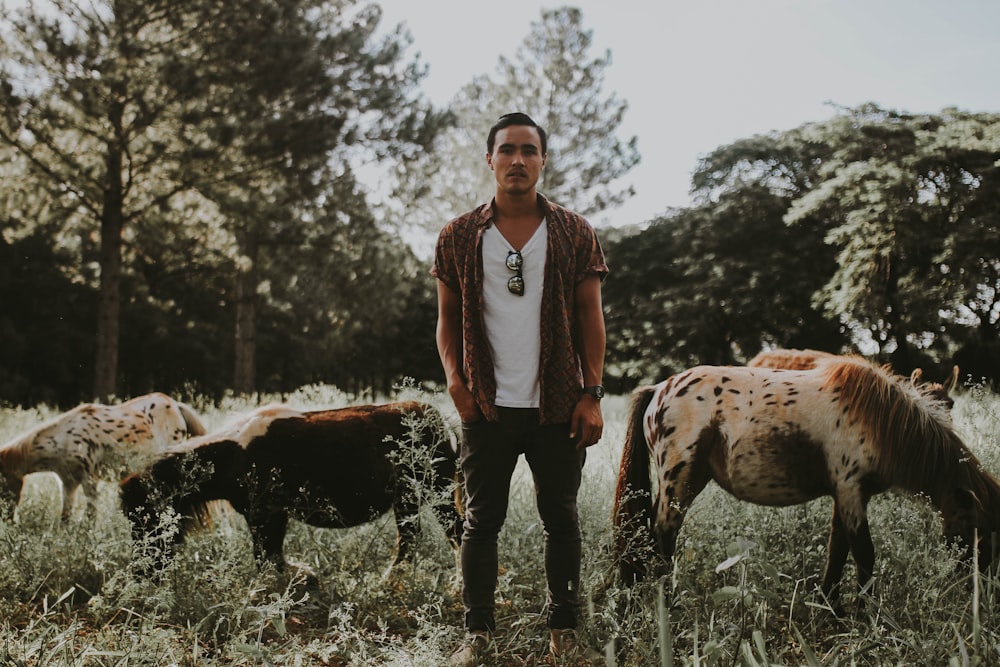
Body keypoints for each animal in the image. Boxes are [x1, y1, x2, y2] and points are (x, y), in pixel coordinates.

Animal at [0, 392, 206, 520]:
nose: (7, 519)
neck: (66, 438)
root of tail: (176, 405)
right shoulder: (68, 483)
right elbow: (65, 518)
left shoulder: (89, 479)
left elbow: (91, 517)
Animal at [119, 400, 462, 576]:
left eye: (141, 519)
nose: (141, 572)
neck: (235, 453)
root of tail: (436, 415)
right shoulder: (262, 516)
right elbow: (269, 556)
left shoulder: (268, 514)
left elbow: (267, 558)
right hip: (409, 501)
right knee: (410, 539)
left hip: (435, 494)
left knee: (452, 533)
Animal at [608, 358, 1000, 612]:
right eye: (979, 531)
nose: (984, 591)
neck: (881, 420)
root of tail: (659, 389)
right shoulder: (850, 491)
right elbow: (864, 554)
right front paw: (865, 613)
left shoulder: (847, 497)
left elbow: (837, 550)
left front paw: (830, 605)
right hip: (679, 483)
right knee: (661, 538)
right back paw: (667, 604)